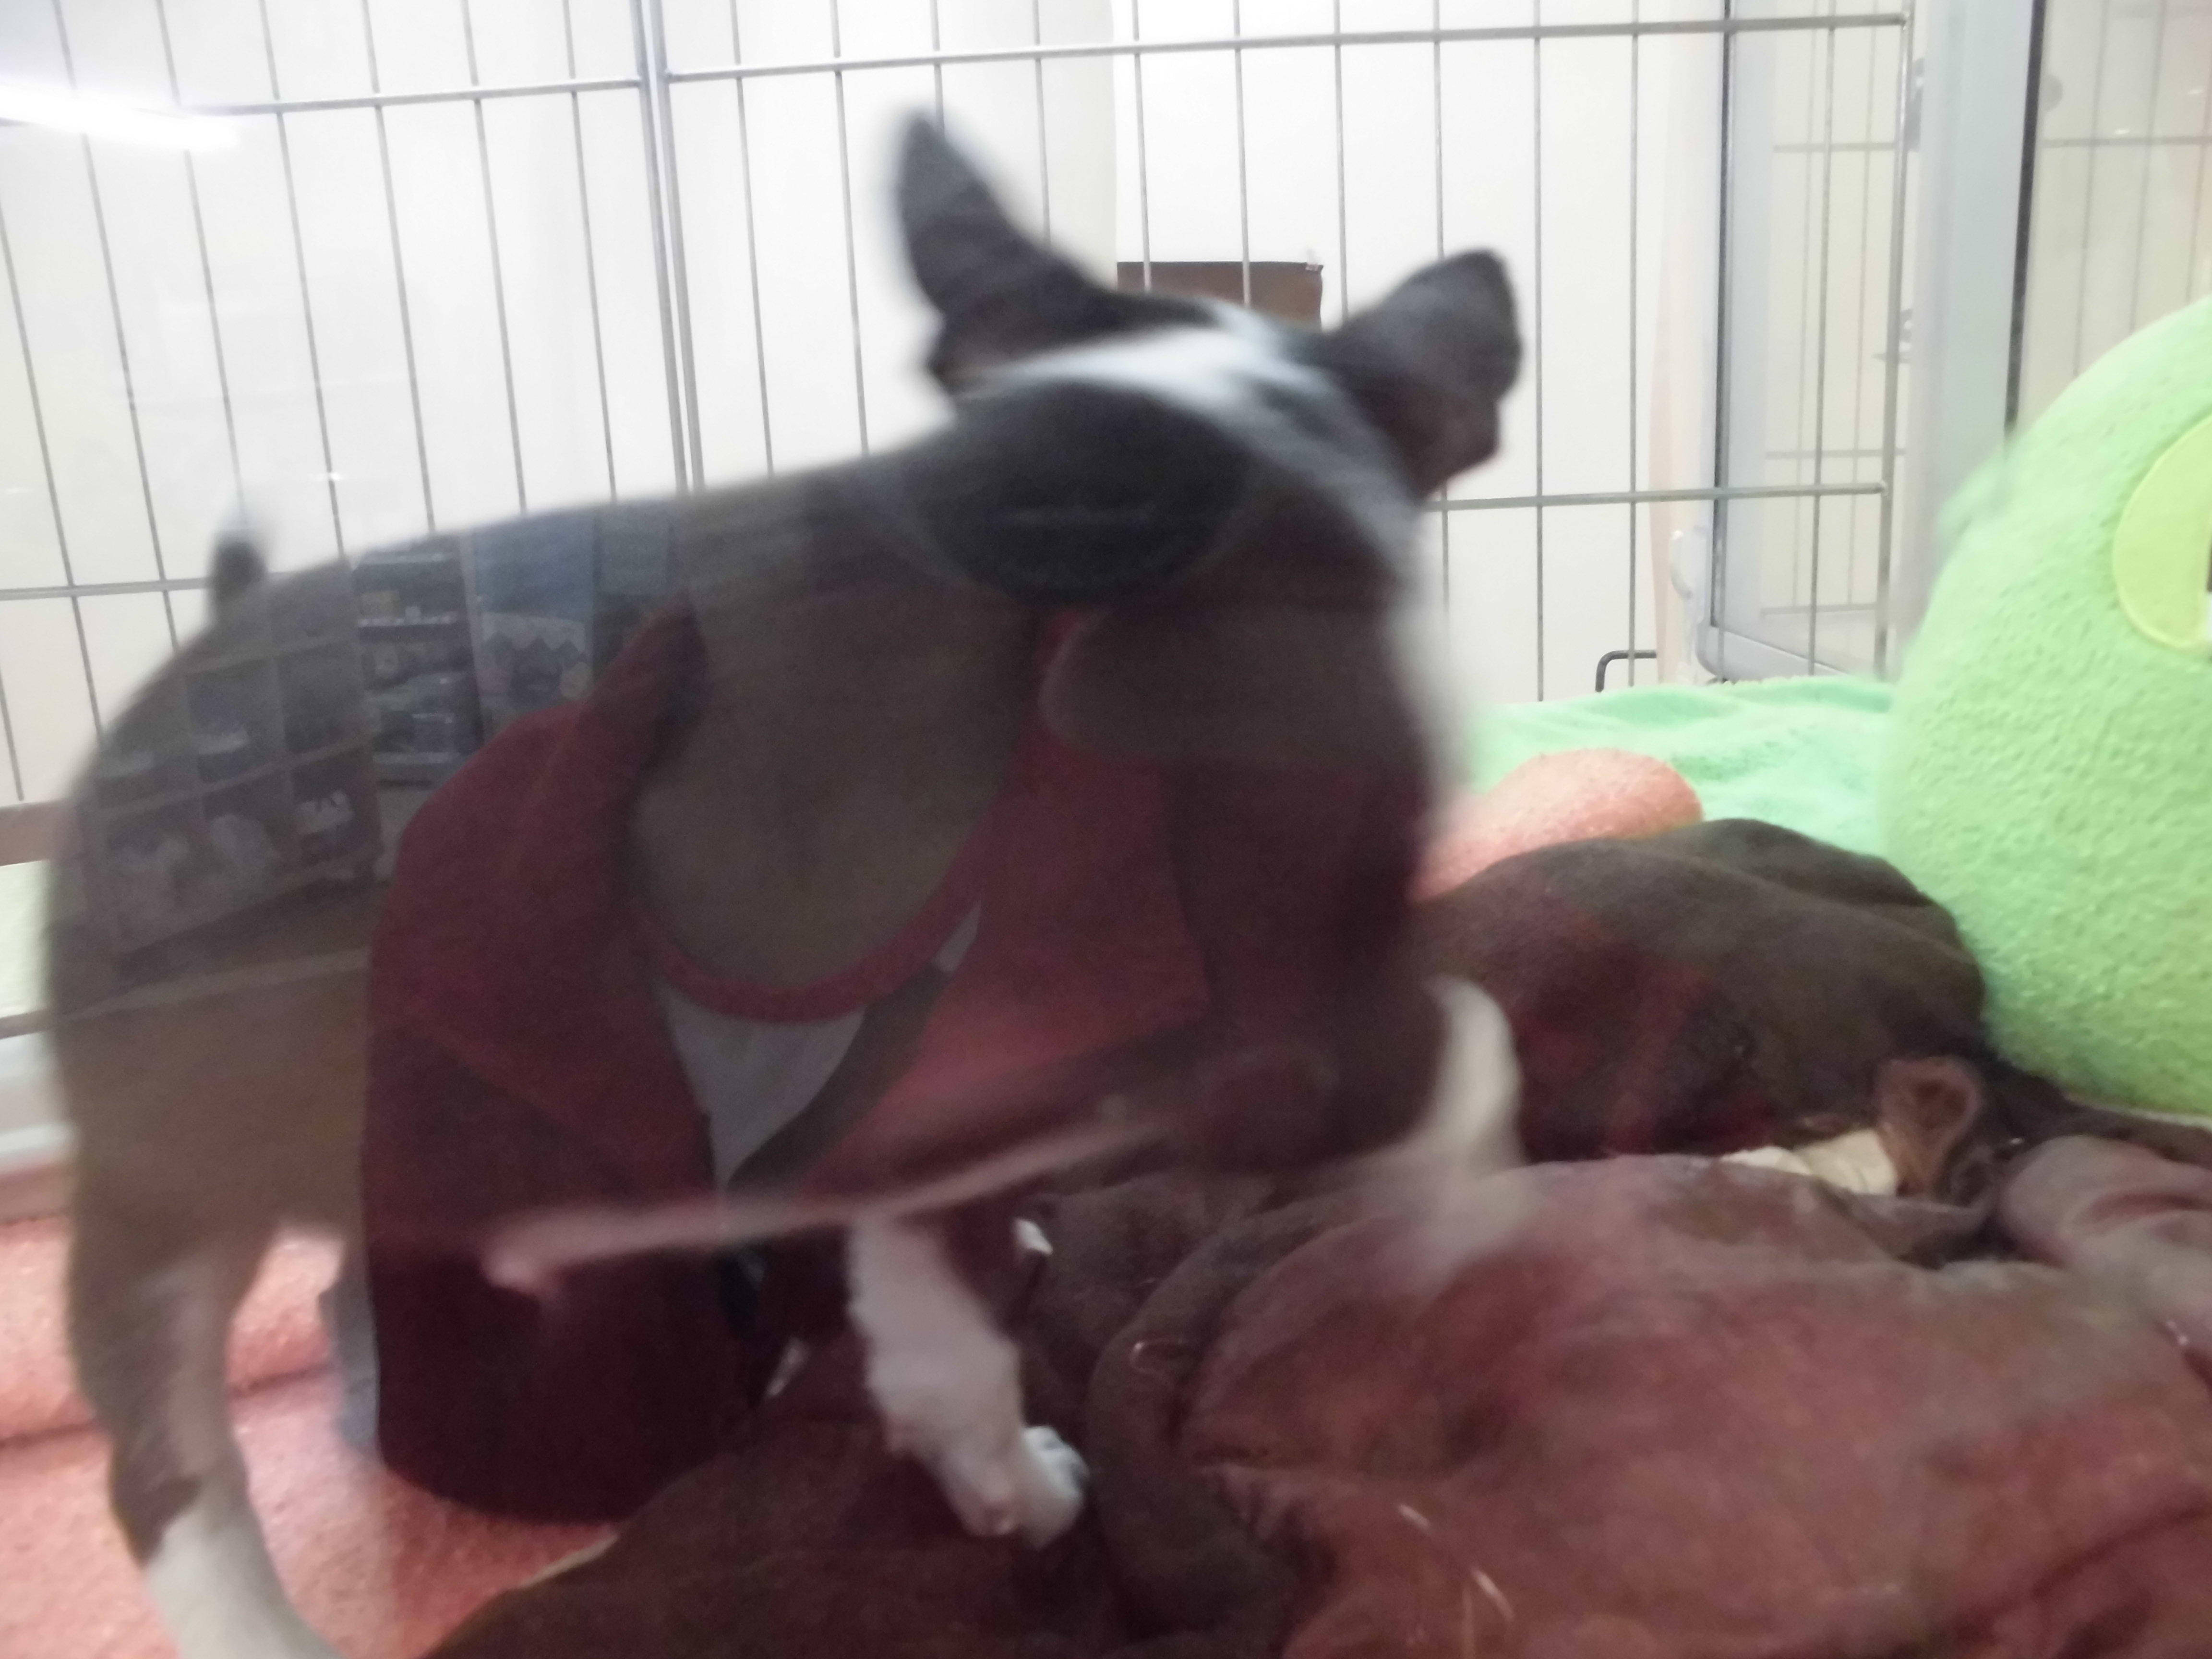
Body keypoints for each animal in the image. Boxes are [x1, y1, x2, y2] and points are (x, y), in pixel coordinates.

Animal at [52, 120, 1521, 1659]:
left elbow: (936, 1332)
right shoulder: (1282, 999)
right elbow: (1473, 1050)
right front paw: (1465, 1239)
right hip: (169, 1192)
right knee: (164, 1464)